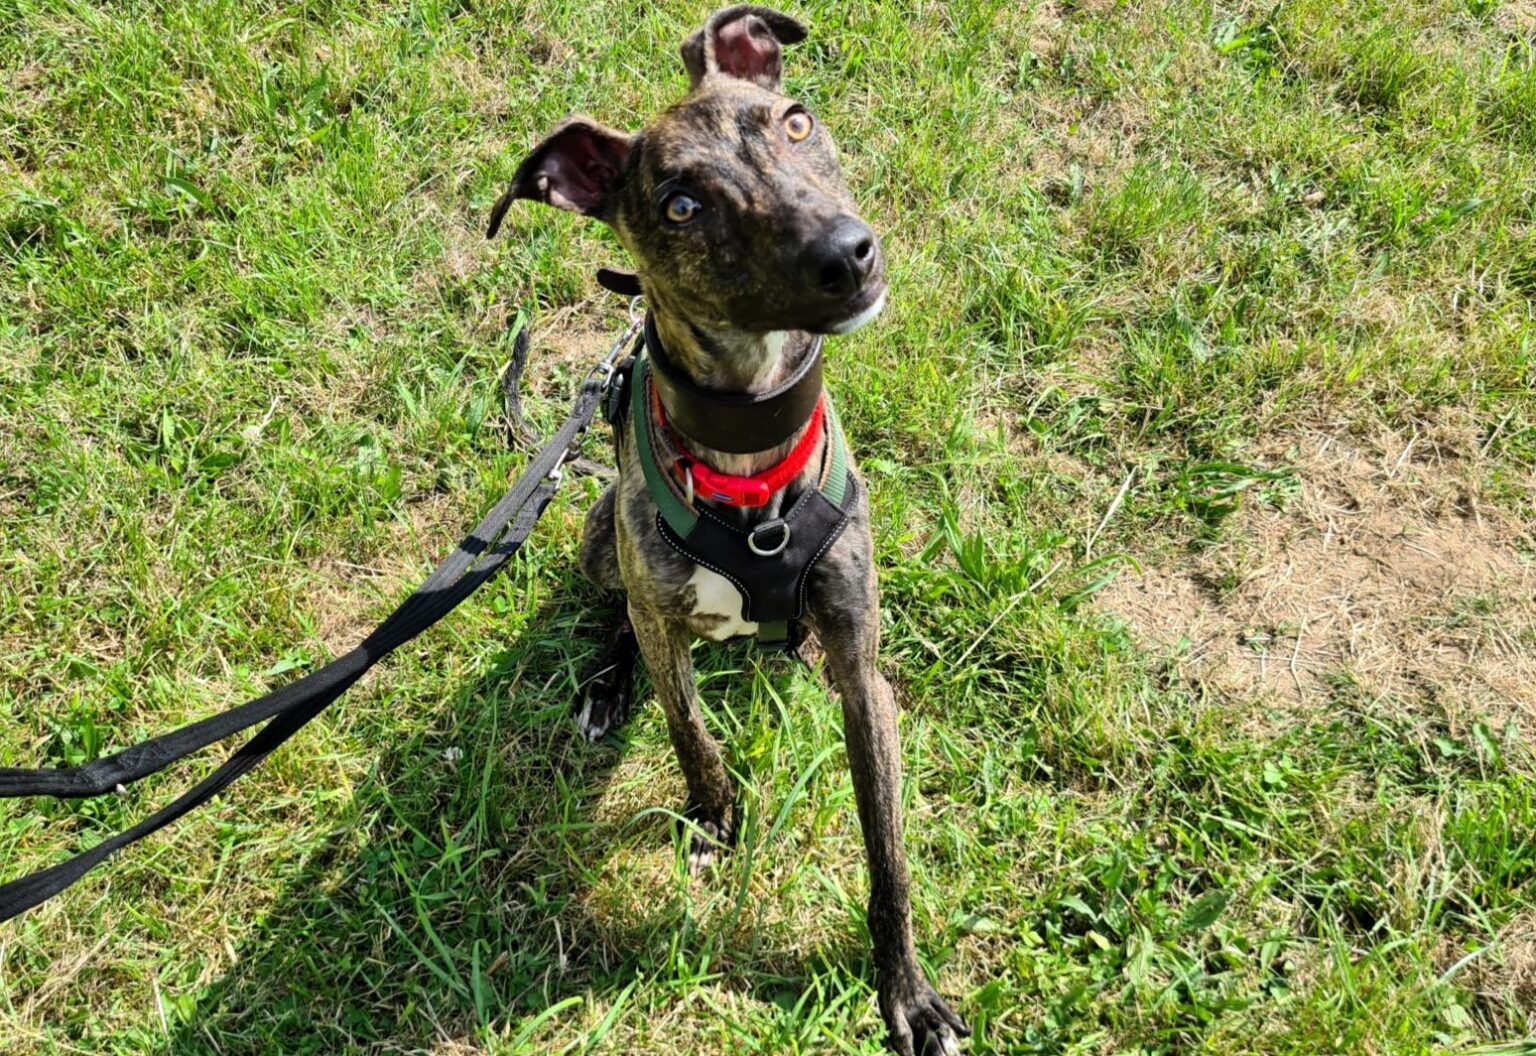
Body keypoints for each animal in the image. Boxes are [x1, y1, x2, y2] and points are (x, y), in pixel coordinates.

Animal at [491, 8, 964, 1056]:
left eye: (795, 122)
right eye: (680, 205)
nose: (849, 253)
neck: (747, 453)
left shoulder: (866, 670)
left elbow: (888, 853)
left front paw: (907, 993)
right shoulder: (666, 619)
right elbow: (689, 731)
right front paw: (713, 817)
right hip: (599, 536)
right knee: (621, 613)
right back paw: (604, 685)